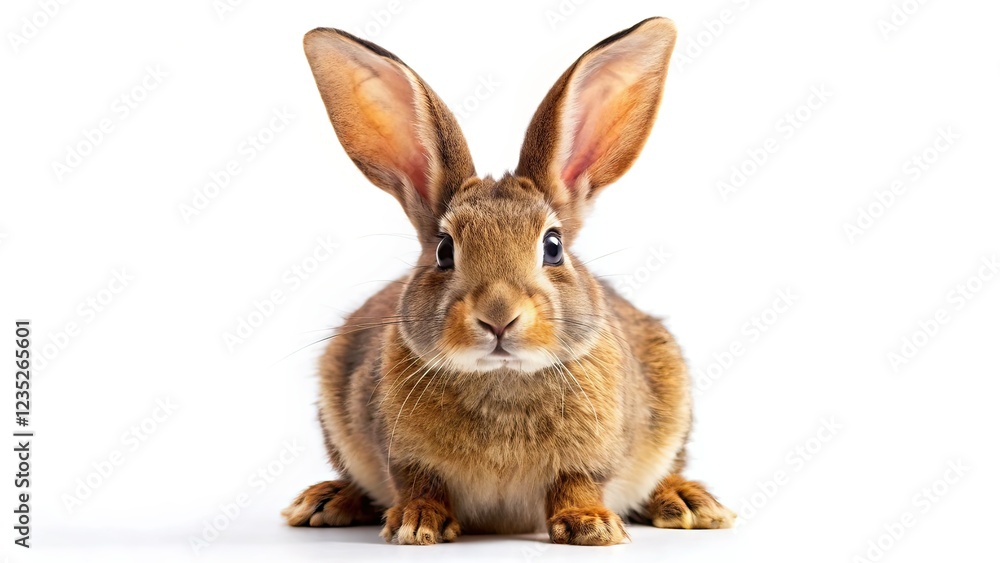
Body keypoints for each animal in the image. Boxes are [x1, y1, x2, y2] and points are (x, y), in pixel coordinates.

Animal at [282, 17, 735, 546]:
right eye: (444, 251)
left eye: (553, 246)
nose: (498, 316)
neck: (502, 377)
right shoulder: (402, 455)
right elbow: (419, 483)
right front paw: (417, 523)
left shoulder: (590, 459)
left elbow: (578, 483)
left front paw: (591, 526)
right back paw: (326, 501)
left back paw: (689, 503)